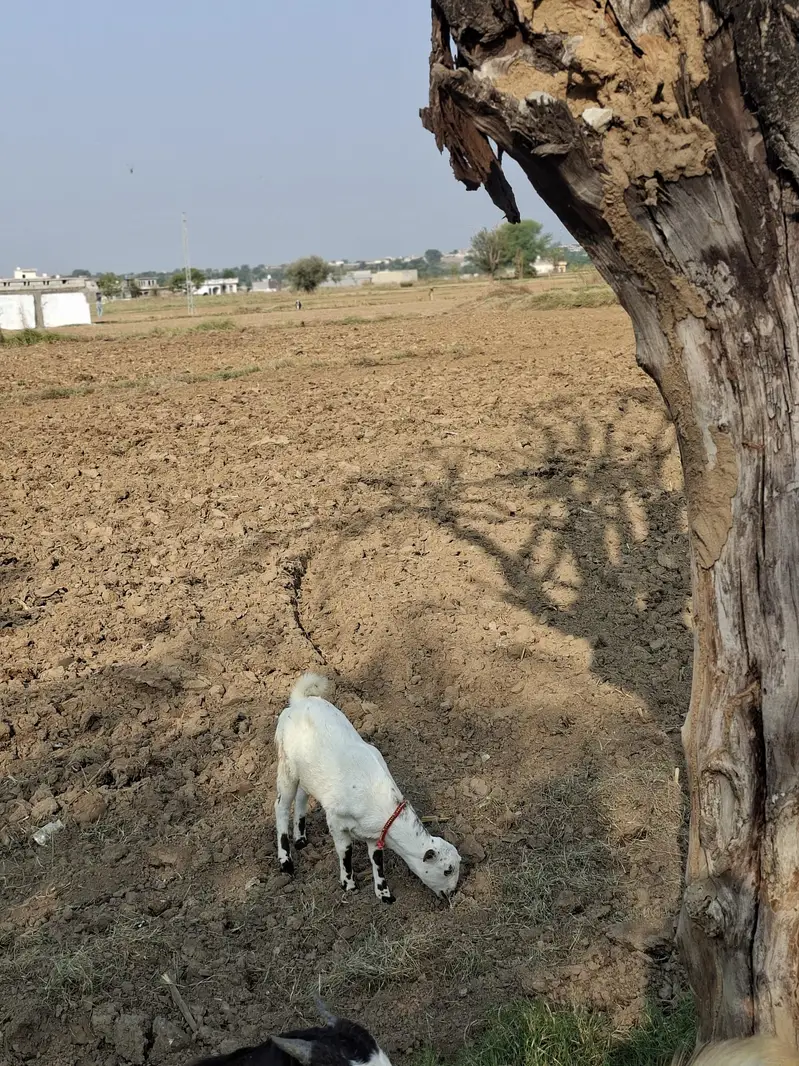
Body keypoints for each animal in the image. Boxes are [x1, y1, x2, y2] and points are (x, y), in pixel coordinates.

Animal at [274, 672, 461, 903]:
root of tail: (300, 701)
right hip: (286, 765)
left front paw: (384, 893)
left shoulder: (375, 834)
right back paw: (286, 861)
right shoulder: (336, 822)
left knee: (301, 796)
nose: (452, 892)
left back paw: (300, 839)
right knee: (281, 807)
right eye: (447, 870)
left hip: (306, 773)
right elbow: (345, 852)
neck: (379, 800)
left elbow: (377, 860)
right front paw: (349, 884)